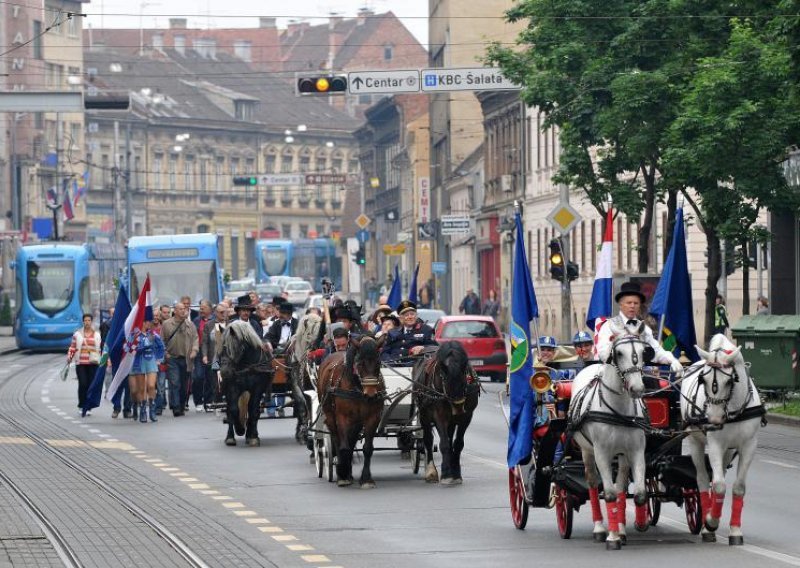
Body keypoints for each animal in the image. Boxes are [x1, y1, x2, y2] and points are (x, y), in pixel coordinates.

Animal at [316, 338, 384, 488]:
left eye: (378, 363)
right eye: (359, 363)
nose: (371, 395)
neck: (357, 388)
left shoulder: (372, 417)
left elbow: (367, 448)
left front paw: (366, 478)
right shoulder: (342, 417)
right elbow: (344, 447)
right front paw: (342, 472)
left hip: (356, 422)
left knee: (351, 440)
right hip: (330, 416)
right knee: (337, 439)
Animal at [412, 340, 482, 486]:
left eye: (464, 375)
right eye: (443, 377)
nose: (458, 405)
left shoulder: (466, 417)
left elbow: (458, 443)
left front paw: (456, 473)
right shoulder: (439, 416)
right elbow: (443, 444)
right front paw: (445, 473)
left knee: (450, 439)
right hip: (424, 414)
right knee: (428, 440)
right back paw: (431, 471)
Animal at [568, 324, 648, 552]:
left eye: (643, 352)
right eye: (618, 353)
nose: (637, 389)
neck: (618, 410)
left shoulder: (636, 451)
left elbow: (639, 493)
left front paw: (640, 522)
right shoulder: (601, 453)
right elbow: (610, 494)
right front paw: (611, 537)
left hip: (622, 455)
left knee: (621, 486)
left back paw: (621, 529)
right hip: (587, 452)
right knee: (594, 483)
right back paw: (600, 528)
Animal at [680, 332, 764, 544]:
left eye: (730, 381)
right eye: (703, 380)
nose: (714, 419)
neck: (733, 409)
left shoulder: (748, 446)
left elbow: (738, 487)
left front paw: (735, 531)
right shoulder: (715, 444)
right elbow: (718, 486)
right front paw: (711, 522)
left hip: (729, 450)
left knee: (721, 474)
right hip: (695, 442)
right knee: (702, 479)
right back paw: (706, 521)